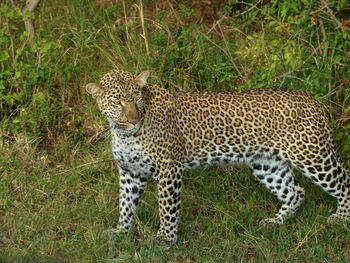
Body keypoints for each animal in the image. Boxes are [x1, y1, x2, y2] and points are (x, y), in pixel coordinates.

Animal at [85, 69, 350, 246]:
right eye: (118, 102)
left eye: (137, 99)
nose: (134, 120)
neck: (123, 133)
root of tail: (313, 101)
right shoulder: (131, 172)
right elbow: (125, 205)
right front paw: (121, 233)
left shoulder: (168, 169)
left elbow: (166, 208)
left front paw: (165, 239)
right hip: (266, 163)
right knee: (296, 192)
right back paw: (274, 223)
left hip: (311, 155)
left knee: (344, 182)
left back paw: (341, 219)